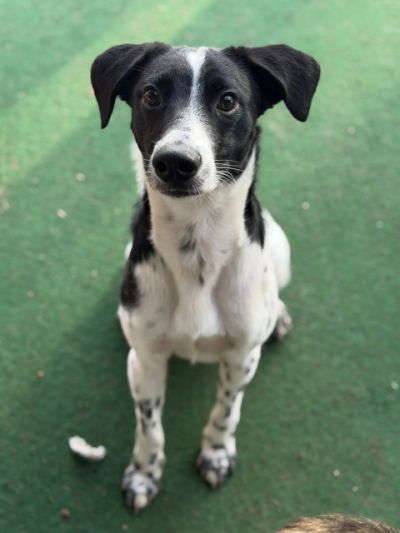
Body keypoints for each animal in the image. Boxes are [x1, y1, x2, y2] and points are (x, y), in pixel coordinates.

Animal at [91, 42, 320, 511]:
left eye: (227, 100)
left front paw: (216, 452)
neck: (197, 250)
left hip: (282, 248)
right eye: (151, 95)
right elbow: (149, 425)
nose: (175, 162)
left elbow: (226, 410)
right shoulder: (144, 360)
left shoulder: (242, 356)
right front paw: (144, 474)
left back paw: (280, 316)